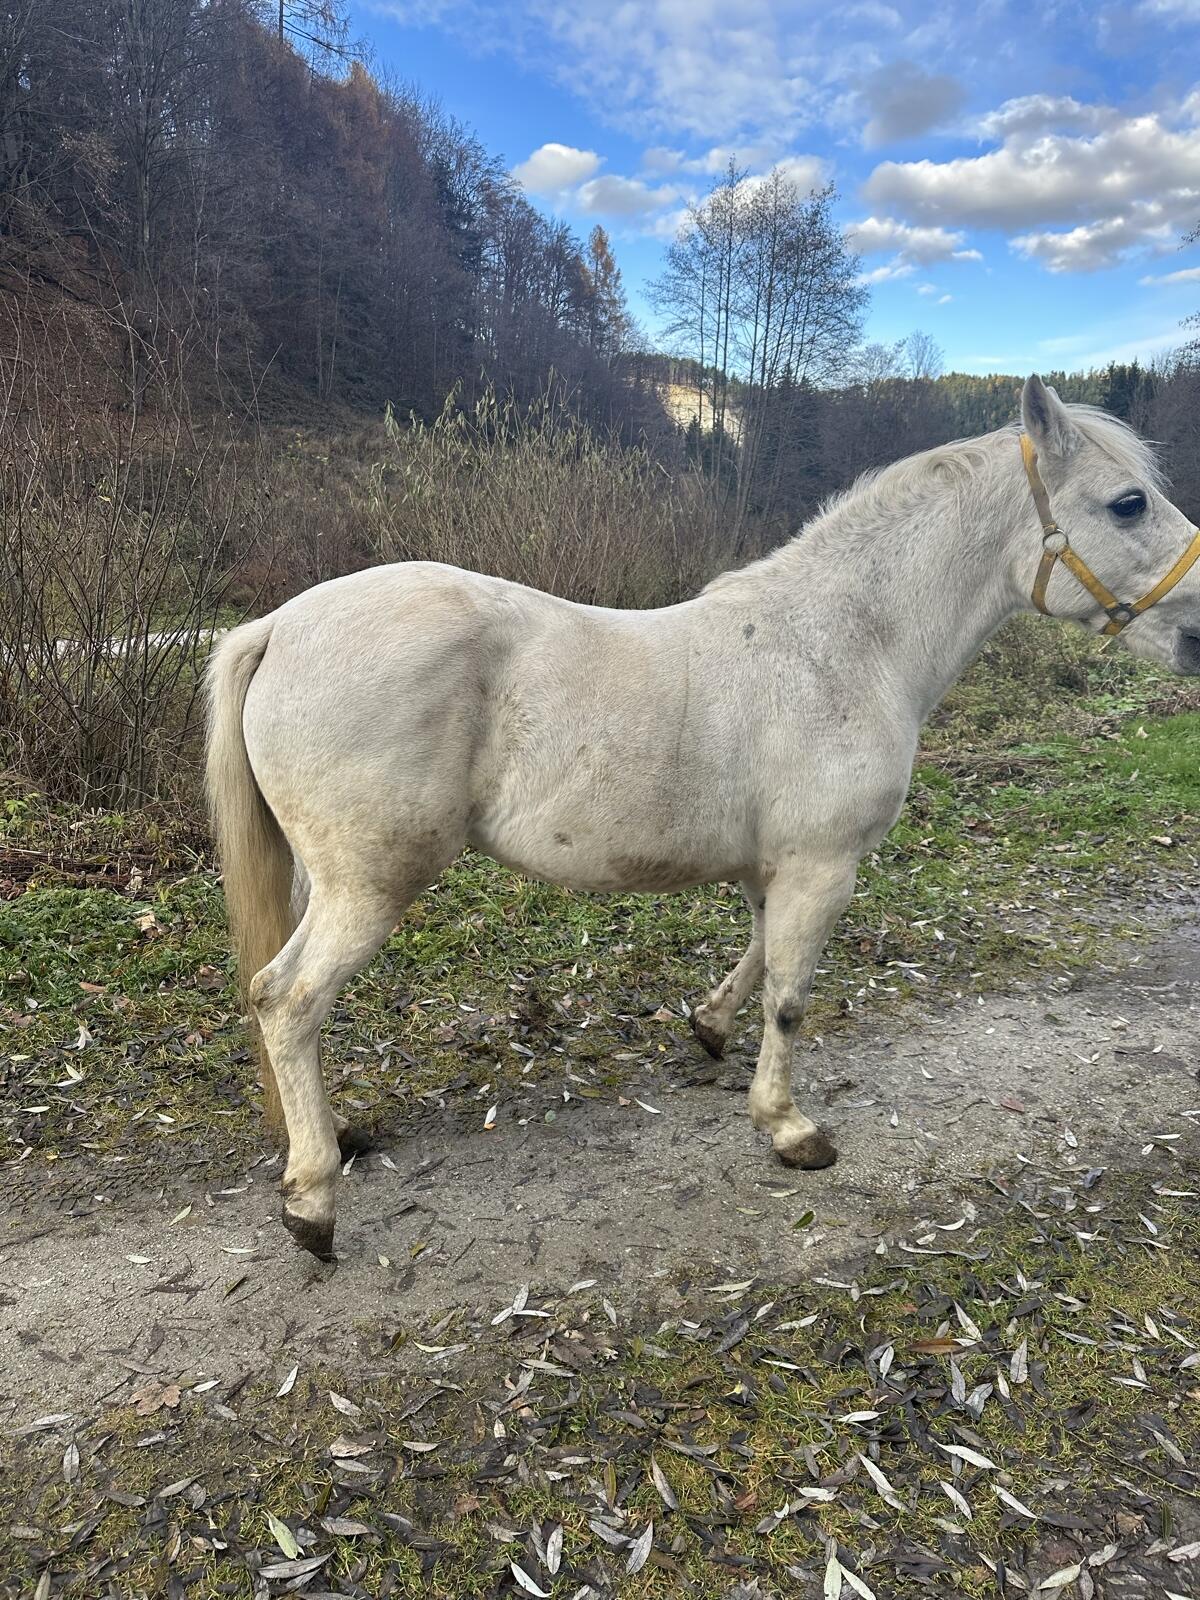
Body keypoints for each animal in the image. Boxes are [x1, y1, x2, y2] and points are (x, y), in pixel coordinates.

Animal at [205, 375, 1200, 1261]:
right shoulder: (822, 867)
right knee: (289, 1000)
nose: (1197, 635)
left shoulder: (779, 868)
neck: (841, 647)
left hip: (325, 881)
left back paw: (333, 1139)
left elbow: (758, 959)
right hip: (371, 884)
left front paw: (711, 1028)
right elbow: (791, 999)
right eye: (1127, 504)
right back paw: (313, 1202)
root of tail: (280, 626)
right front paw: (791, 1129)